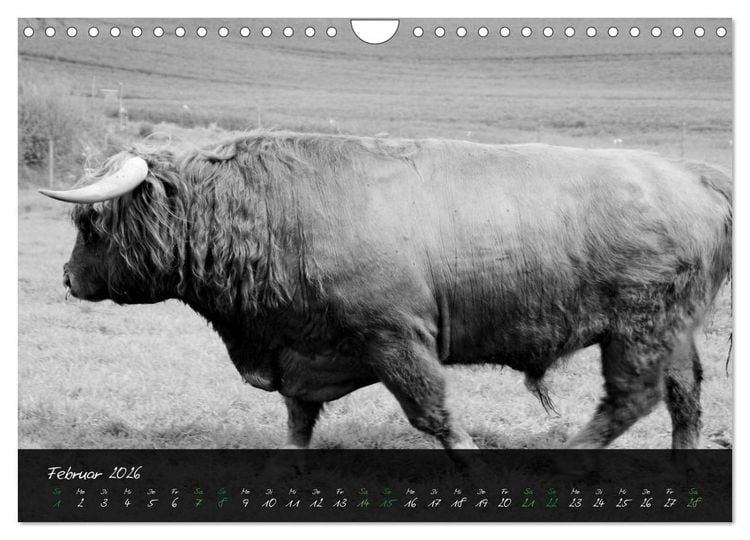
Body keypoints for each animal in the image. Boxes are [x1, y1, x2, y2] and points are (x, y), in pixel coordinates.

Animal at [39, 131, 732, 451]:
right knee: (685, 397)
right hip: (671, 332)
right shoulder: (304, 352)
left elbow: (433, 414)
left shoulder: (396, 340)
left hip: (637, 331)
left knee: (633, 399)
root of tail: (693, 174)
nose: (68, 277)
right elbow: (298, 419)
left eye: (90, 223)